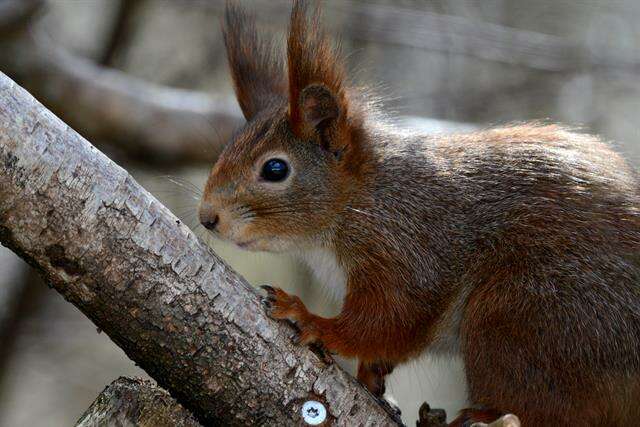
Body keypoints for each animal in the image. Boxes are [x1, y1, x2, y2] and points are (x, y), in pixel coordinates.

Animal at [200, 1, 640, 426]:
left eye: (275, 169)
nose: (207, 217)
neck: (359, 198)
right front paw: (371, 376)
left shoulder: (407, 245)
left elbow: (387, 321)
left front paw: (311, 319)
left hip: (527, 317)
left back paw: (480, 415)